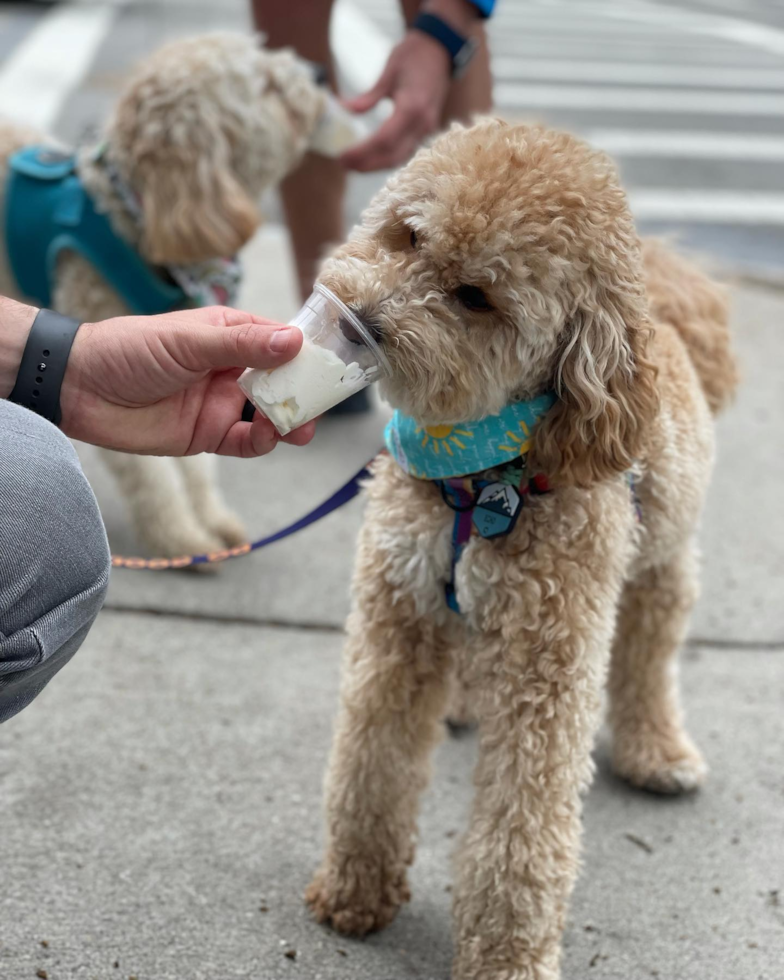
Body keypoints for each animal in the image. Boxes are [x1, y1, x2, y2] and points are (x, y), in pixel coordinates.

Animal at [0, 32, 334, 560]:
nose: (321, 73)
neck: (139, 217)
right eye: (265, 85)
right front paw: (180, 536)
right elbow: (150, 471)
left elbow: (194, 462)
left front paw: (211, 520)